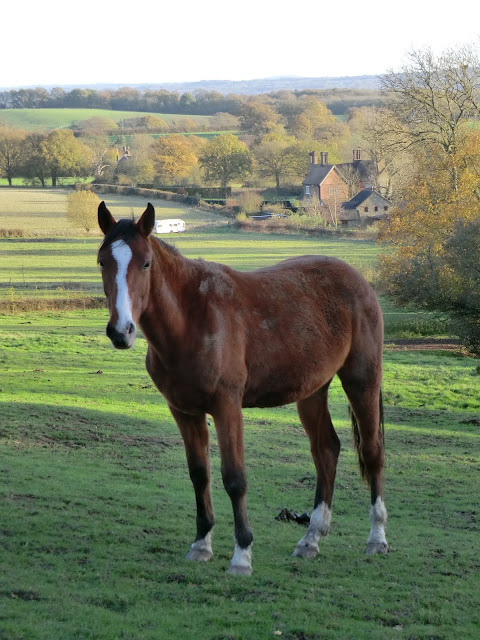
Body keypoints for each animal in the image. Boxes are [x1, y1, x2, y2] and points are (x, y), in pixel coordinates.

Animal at [98, 201, 390, 576]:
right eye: (102, 261)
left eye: (146, 262)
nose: (122, 331)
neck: (192, 319)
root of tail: (359, 281)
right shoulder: (184, 411)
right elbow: (200, 475)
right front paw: (201, 545)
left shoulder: (227, 407)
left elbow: (234, 479)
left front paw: (241, 555)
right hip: (313, 390)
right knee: (326, 450)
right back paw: (311, 539)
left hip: (361, 379)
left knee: (371, 451)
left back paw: (377, 538)